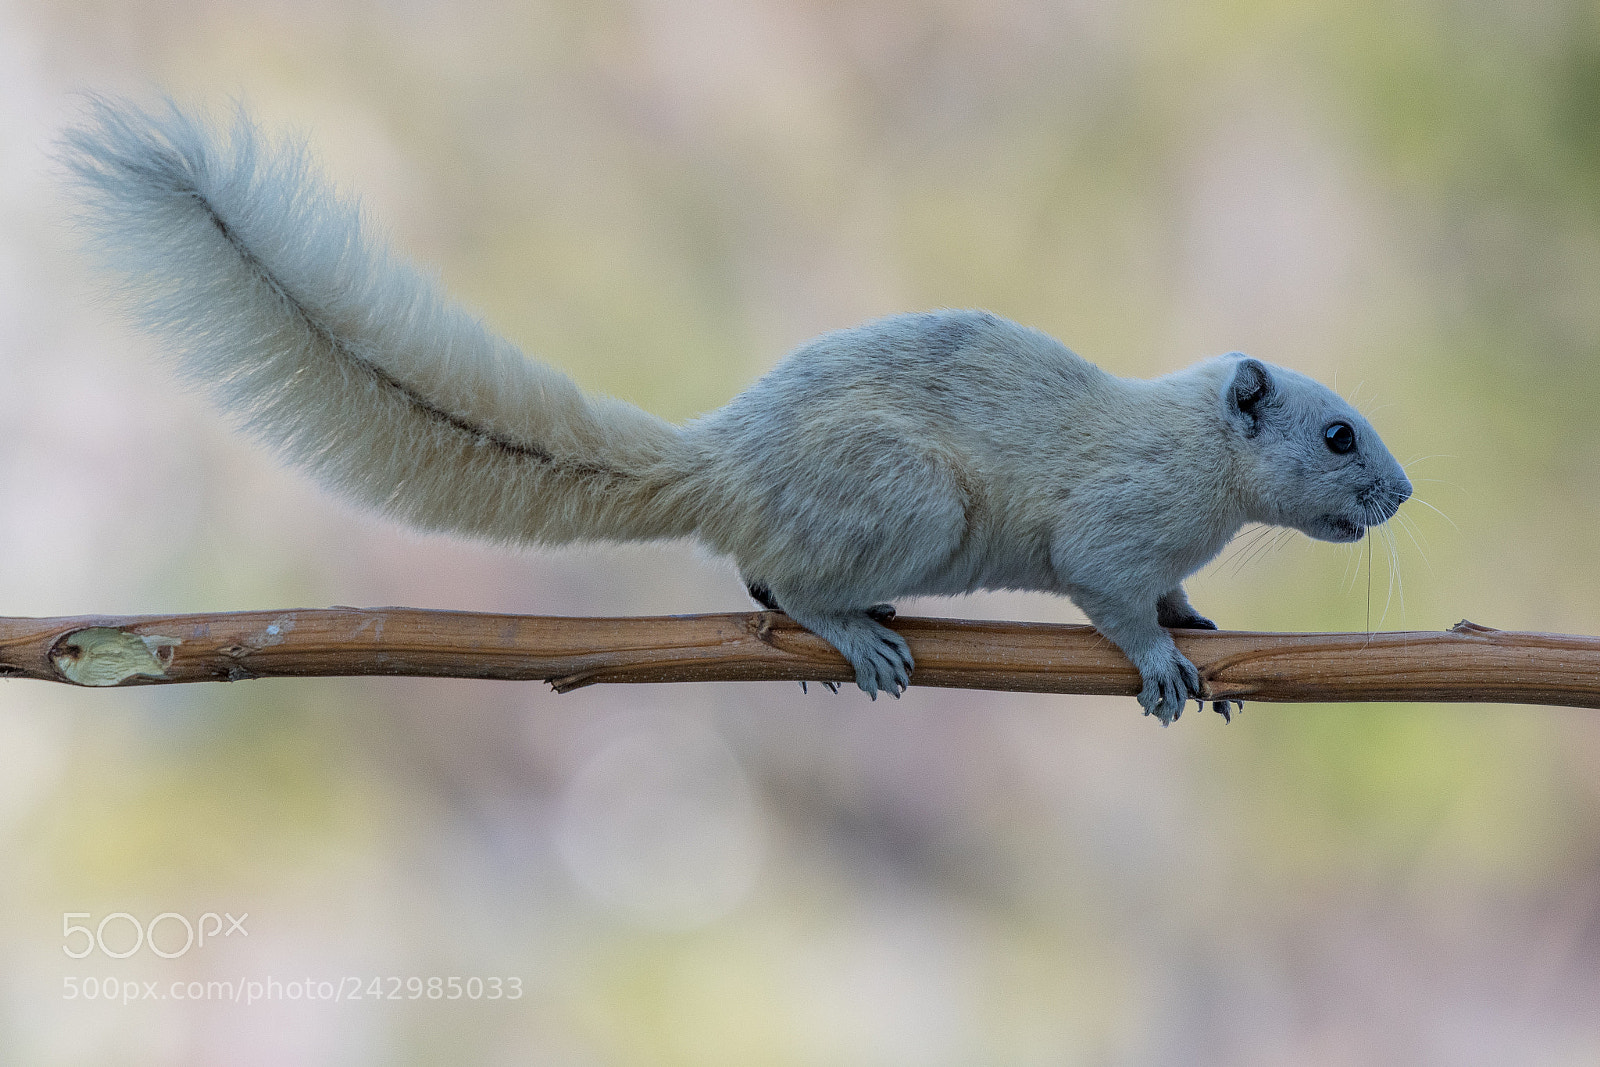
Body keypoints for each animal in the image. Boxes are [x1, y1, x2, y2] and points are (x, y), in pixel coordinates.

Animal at [60, 98, 1412, 724]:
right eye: (1337, 432)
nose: (1401, 493)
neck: (1204, 458)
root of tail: (727, 465)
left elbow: (1172, 591)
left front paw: (1204, 630)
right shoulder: (1110, 522)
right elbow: (1107, 588)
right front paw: (1159, 660)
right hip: (909, 499)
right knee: (785, 580)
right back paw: (851, 631)